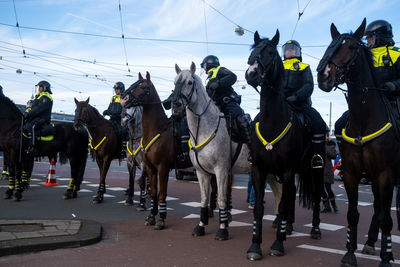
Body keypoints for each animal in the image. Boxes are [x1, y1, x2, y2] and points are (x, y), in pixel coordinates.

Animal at [120, 71, 192, 230]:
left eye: (143, 87)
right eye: (133, 84)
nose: (123, 99)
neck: (157, 129)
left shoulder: (162, 168)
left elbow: (162, 193)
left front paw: (161, 219)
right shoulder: (150, 168)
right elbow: (153, 192)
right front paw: (151, 216)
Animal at [172, 62, 282, 241]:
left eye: (189, 82)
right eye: (175, 82)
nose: (175, 105)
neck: (204, 128)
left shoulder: (221, 171)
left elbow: (222, 200)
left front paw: (223, 229)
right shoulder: (202, 173)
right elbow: (204, 199)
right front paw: (201, 226)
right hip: (271, 173)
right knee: (279, 193)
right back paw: (278, 221)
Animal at [244, 30, 324, 260]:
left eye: (271, 51)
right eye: (253, 49)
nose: (251, 73)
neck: (273, 122)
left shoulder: (288, 170)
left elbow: (281, 205)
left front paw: (277, 245)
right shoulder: (260, 170)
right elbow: (261, 209)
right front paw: (255, 246)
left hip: (315, 169)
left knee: (316, 196)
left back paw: (315, 229)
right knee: (289, 196)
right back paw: (286, 226)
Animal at [318, 17, 398, 266]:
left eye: (352, 47)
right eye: (331, 44)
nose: (323, 75)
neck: (364, 120)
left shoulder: (386, 174)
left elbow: (387, 219)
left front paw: (386, 258)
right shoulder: (352, 173)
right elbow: (353, 214)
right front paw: (350, 253)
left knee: (384, 211)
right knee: (377, 208)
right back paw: (371, 243)